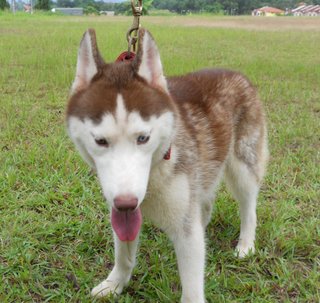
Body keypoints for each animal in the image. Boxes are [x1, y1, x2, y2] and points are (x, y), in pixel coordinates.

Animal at [67, 27, 268, 302]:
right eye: (100, 141)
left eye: (143, 138)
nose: (126, 202)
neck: (156, 171)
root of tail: (237, 73)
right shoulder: (120, 208)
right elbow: (124, 255)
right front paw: (115, 283)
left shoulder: (185, 227)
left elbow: (192, 288)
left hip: (242, 166)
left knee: (248, 206)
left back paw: (246, 244)